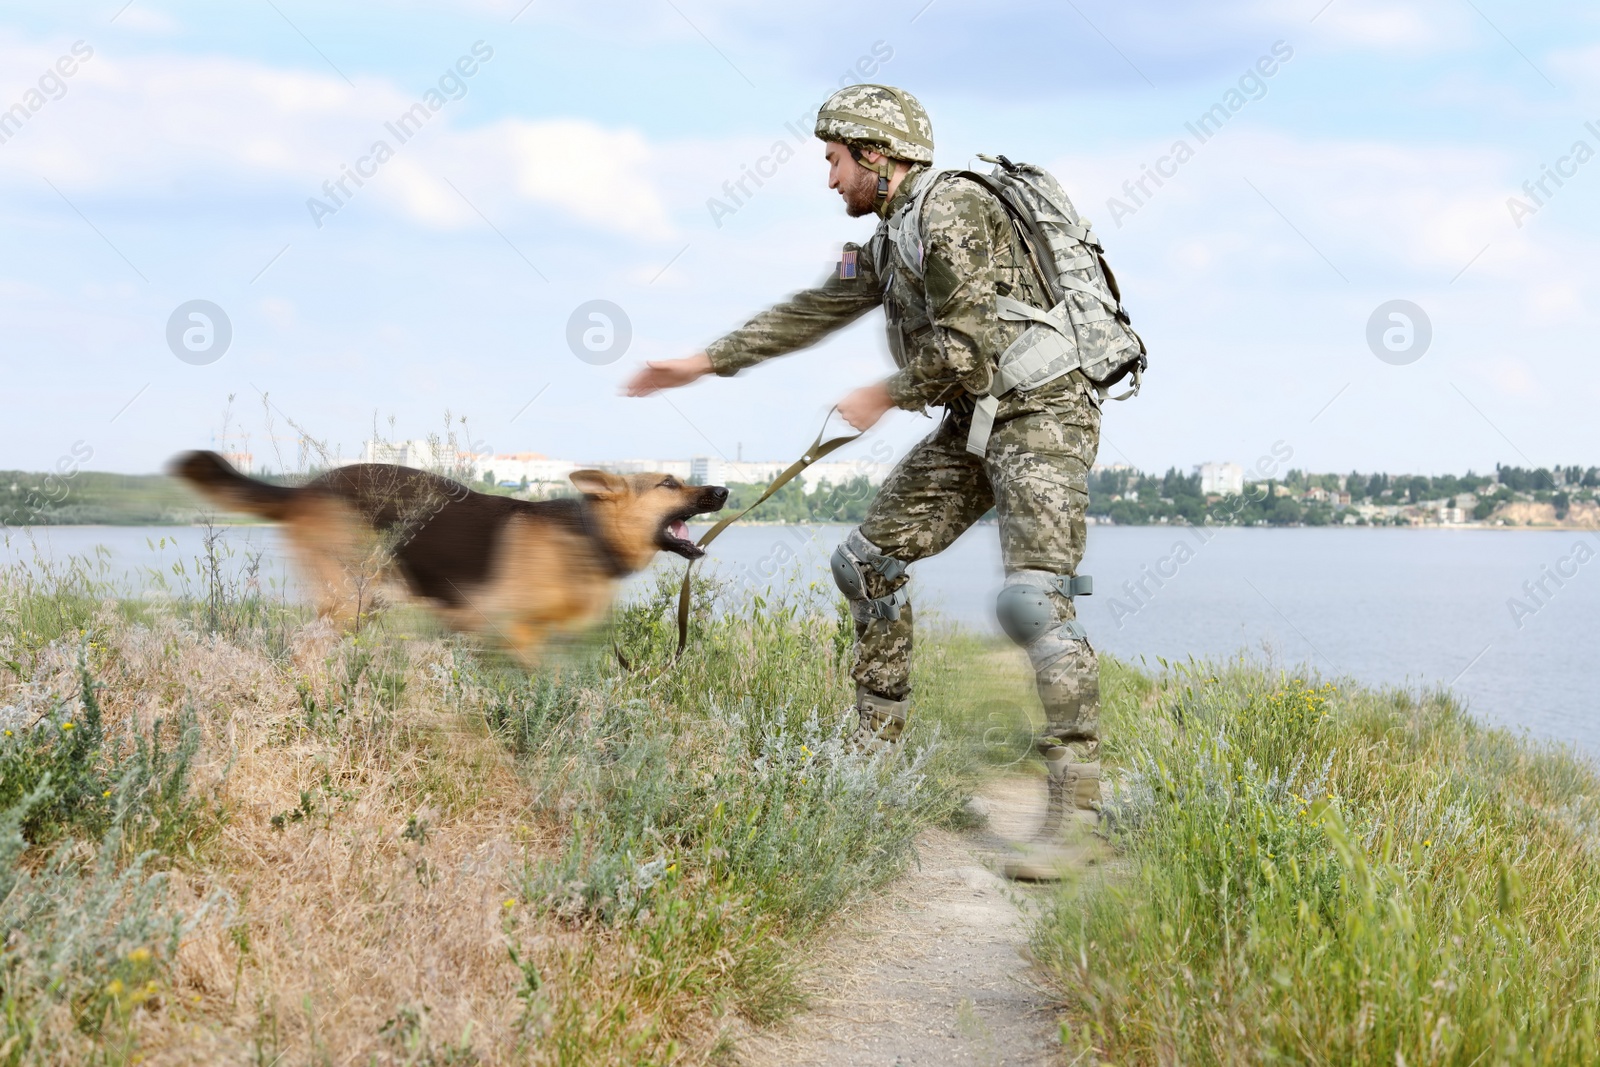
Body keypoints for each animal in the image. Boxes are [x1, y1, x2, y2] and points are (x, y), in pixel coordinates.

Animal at [172, 447, 729, 659]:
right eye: (669, 482)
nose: (724, 490)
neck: (588, 535)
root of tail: (305, 490)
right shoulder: (514, 633)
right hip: (347, 600)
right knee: (306, 648)